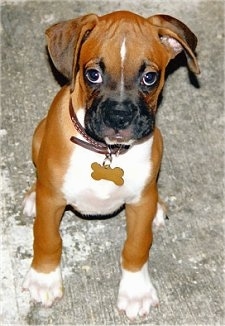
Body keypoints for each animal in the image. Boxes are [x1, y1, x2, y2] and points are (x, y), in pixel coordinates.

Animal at [22, 10, 199, 320]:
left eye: (149, 77)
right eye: (93, 74)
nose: (119, 117)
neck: (106, 151)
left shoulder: (139, 203)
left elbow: (136, 246)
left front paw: (136, 291)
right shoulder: (52, 200)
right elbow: (47, 238)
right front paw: (44, 278)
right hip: (37, 137)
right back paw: (32, 196)